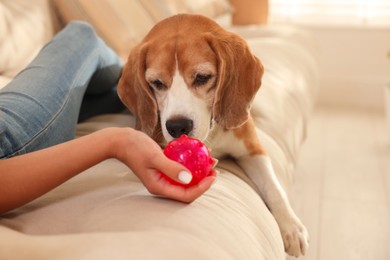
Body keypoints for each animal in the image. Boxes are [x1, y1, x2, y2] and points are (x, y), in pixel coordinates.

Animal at [118, 13, 308, 256]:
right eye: (157, 83)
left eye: (202, 77)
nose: (177, 126)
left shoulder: (253, 150)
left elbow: (274, 187)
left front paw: (292, 227)